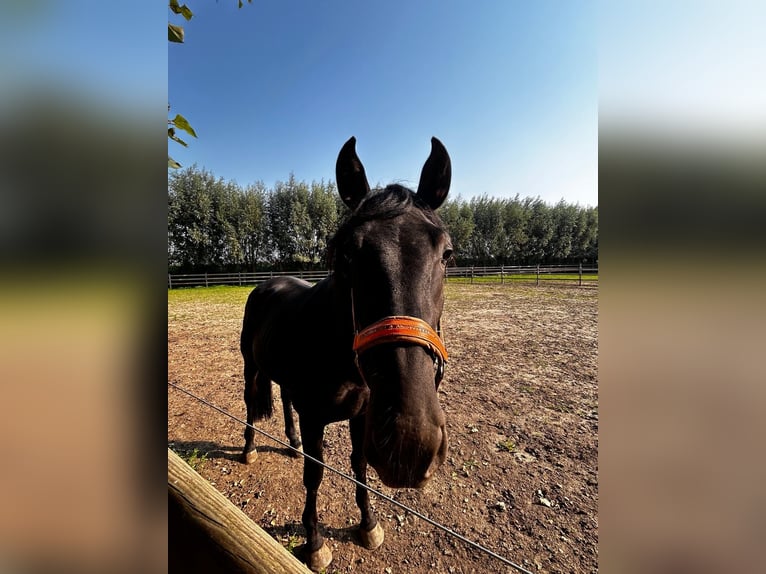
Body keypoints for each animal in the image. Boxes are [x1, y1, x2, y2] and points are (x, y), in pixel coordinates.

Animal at [242, 137, 450, 572]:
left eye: (447, 255)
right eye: (347, 255)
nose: (411, 444)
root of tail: (265, 285)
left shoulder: (363, 414)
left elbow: (358, 466)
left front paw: (368, 524)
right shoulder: (316, 418)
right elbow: (315, 475)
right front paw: (315, 542)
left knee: (284, 399)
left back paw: (290, 442)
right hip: (249, 366)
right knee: (251, 402)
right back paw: (249, 448)